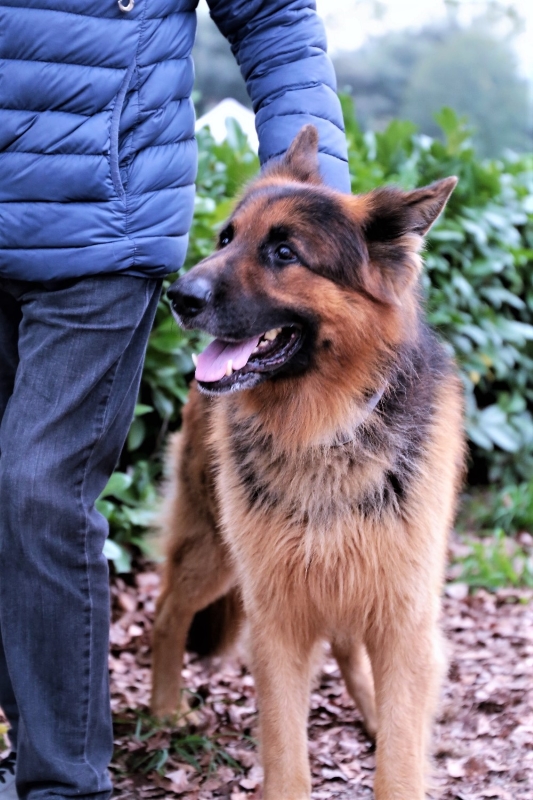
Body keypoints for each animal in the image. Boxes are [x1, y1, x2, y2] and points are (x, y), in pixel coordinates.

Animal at [150, 125, 462, 800]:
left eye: (285, 252)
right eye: (226, 238)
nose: (178, 296)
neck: (322, 430)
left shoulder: (402, 618)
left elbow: (400, 758)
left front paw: (391, 737)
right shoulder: (278, 622)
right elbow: (286, 754)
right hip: (216, 553)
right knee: (167, 612)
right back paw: (163, 708)